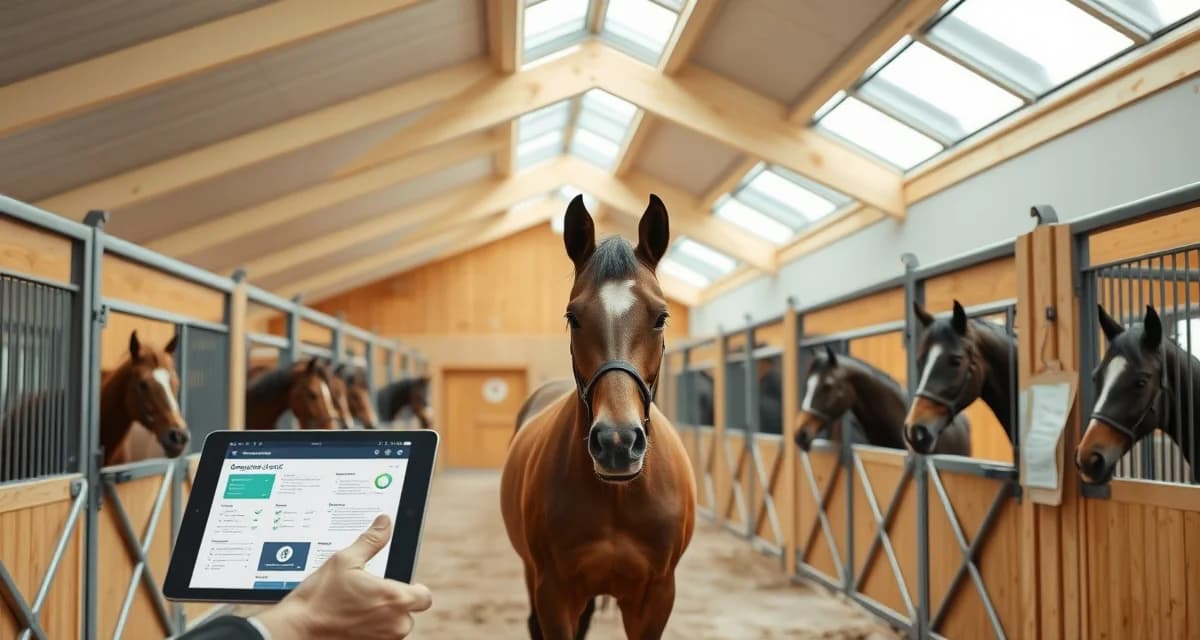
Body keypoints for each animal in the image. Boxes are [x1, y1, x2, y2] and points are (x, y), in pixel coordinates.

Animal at [501, 195, 695, 640]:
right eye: (573, 316)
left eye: (660, 317)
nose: (617, 443)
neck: (616, 497)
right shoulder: (554, 593)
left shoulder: (656, 596)